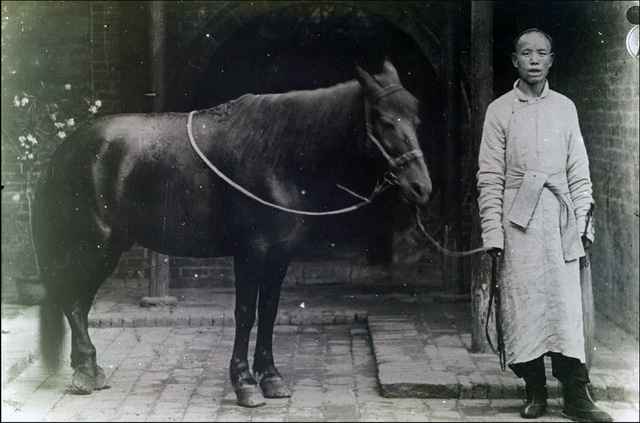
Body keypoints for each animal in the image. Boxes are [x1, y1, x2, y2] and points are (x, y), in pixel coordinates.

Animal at [35, 58, 436, 408]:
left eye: (416, 118)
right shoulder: (250, 251)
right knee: (71, 298)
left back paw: (89, 370)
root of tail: (67, 147)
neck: (275, 154)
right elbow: (245, 312)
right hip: (93, 245)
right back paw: (84, 374)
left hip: (109, 247)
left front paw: (271, 378)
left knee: (80, 301)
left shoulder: (280, 254)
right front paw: (244, 384)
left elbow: (269, 310)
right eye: (384, 121)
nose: (421, 187)